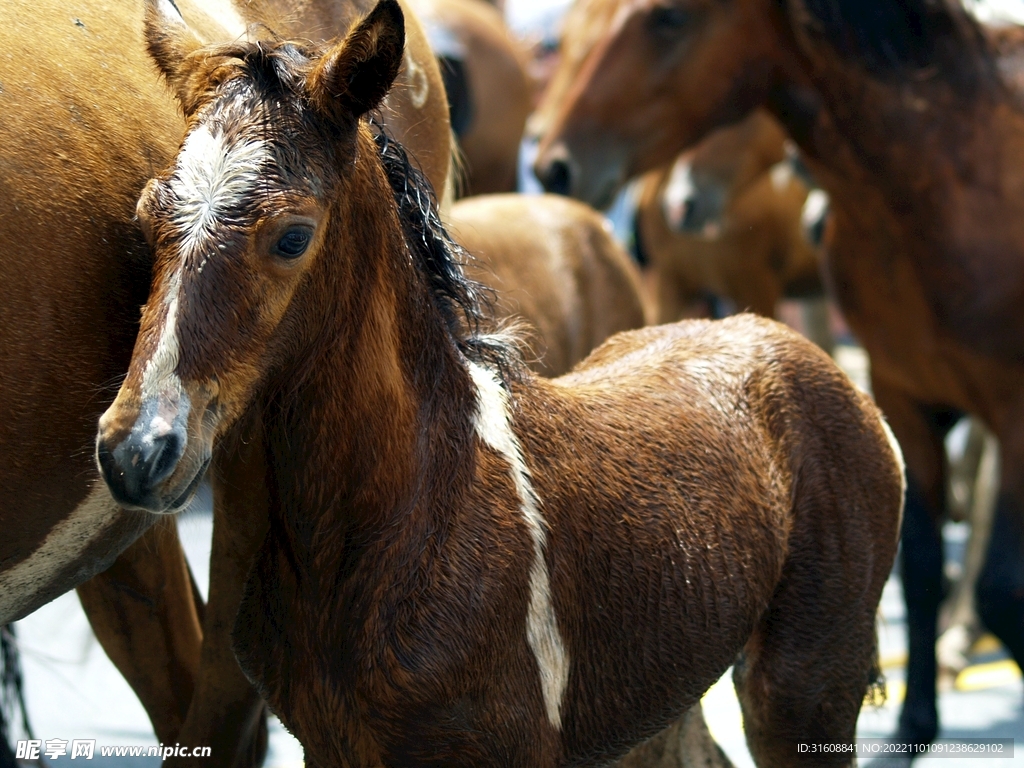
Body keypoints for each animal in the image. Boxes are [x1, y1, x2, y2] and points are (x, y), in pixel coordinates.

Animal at [532, 0, 1024, 753]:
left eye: (668, 19)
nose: (556, 166)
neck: (946, 179)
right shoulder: (905, 392)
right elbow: (919, 564)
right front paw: (915, 721)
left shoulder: (1011, 404)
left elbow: (1001, 584)